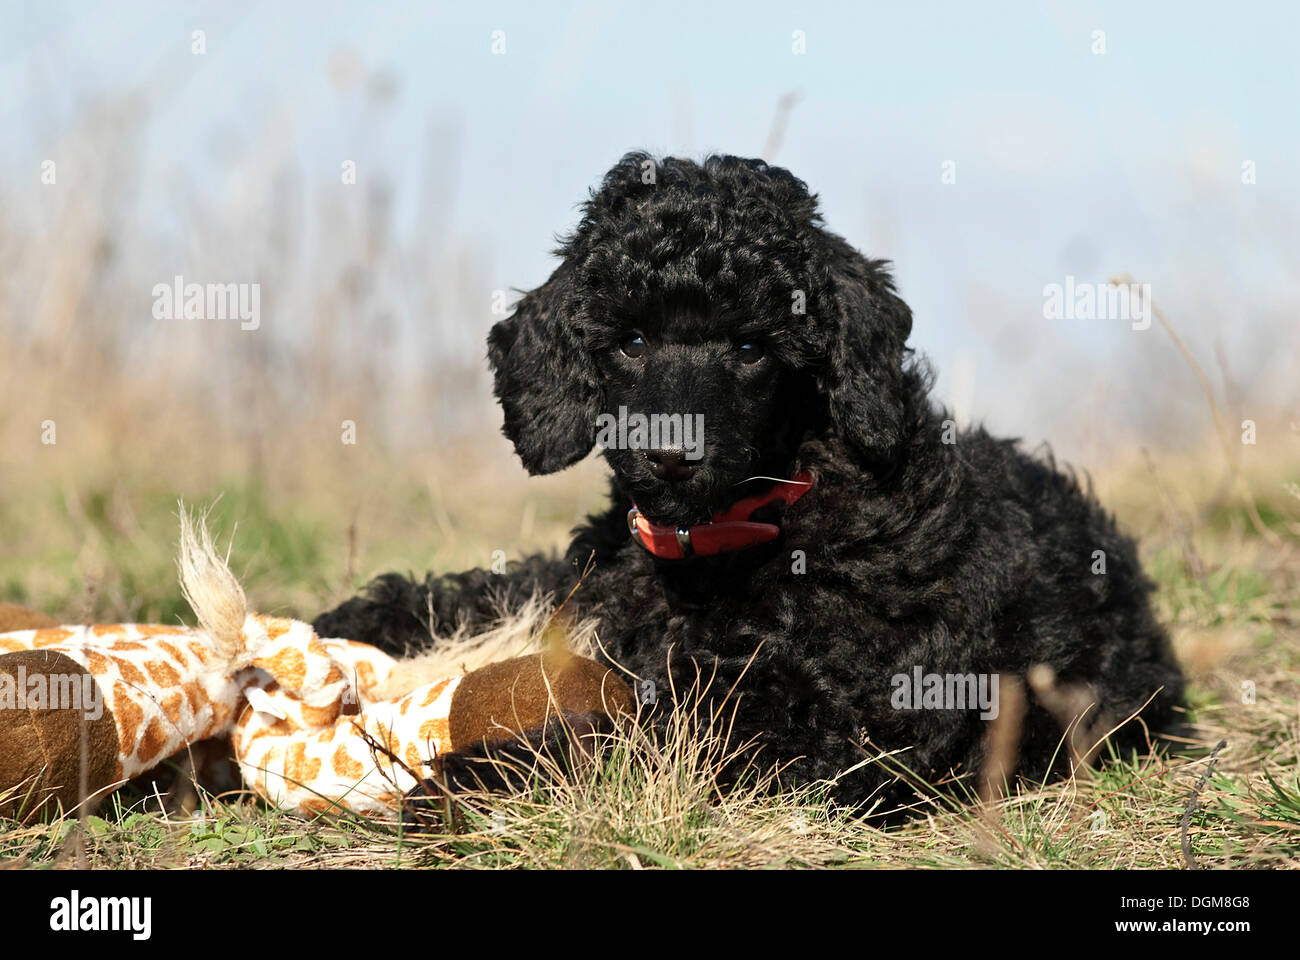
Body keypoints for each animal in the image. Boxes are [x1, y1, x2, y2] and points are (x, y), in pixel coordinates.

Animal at [314, 153, 1190, 811]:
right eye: (630, 340)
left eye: (750, 349)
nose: (671, 455)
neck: (739, 530)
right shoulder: (597, 578)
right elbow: (506, 587)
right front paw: (362, 617)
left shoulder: (814, 728)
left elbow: (641, 736)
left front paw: (480, 775)